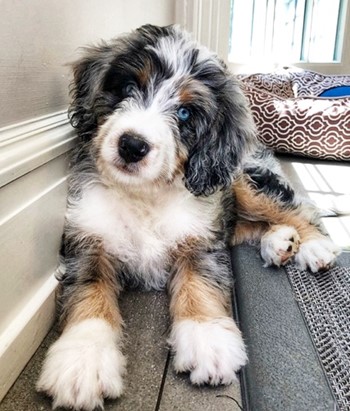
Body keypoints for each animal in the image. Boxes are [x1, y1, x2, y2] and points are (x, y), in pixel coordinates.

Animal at [36, 24, 340, 410]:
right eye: (129, 88)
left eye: (184, 114)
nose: (132, 145)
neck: (144, 195)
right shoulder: (87, 239)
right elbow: (87, 290)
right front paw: (82, 360)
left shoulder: (201, 238)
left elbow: (200, 281)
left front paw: (206, 338)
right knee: (246, 225)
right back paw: (279, 242)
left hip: (242, 179)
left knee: (294, 207)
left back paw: (313, 246)